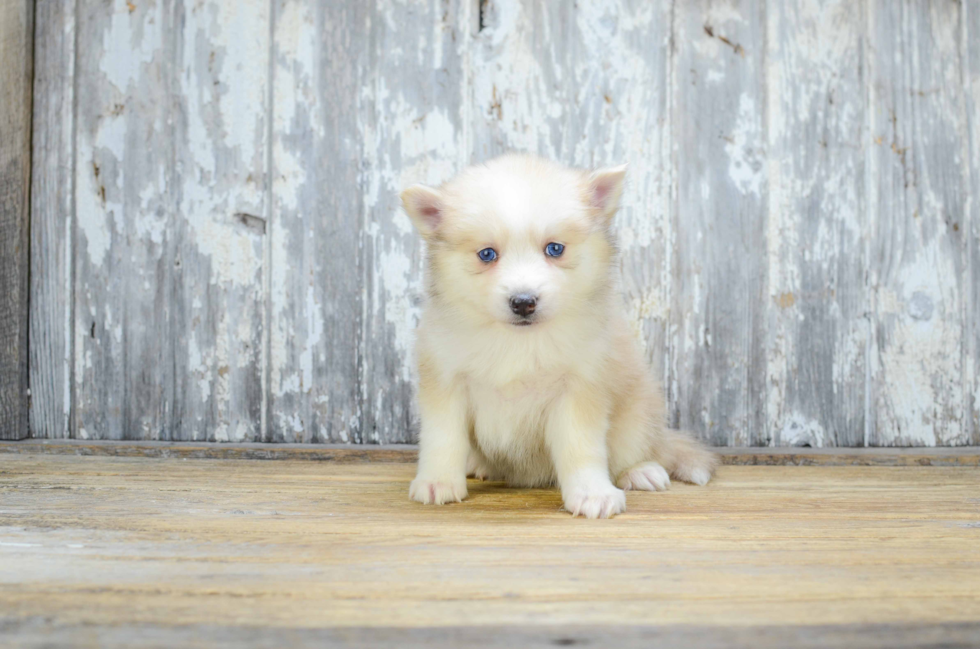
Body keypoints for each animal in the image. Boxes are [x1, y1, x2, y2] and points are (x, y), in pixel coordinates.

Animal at [400, 154, 720, 520]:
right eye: (487, 254)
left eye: (554, 249)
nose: (524, 302)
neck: (517, 342)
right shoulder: (445, 382)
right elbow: (443, 438)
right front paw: (437, 481)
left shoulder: (578, 389)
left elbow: (581, 448)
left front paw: (592, 493)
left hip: (638, 411)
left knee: (637, 449)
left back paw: (640, 470)